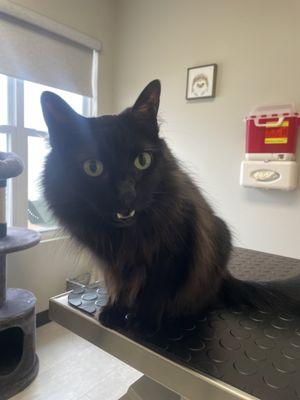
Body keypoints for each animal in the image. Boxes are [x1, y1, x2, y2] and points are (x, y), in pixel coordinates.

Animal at [39, 80, 298, 332]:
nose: (127, 194)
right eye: (93, 167)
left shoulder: (175, 250)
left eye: (142, 160)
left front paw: (144, 321)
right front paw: (115, 310)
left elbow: (158, 290)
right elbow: (119, 285)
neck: (126, 237)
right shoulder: (110, 261)